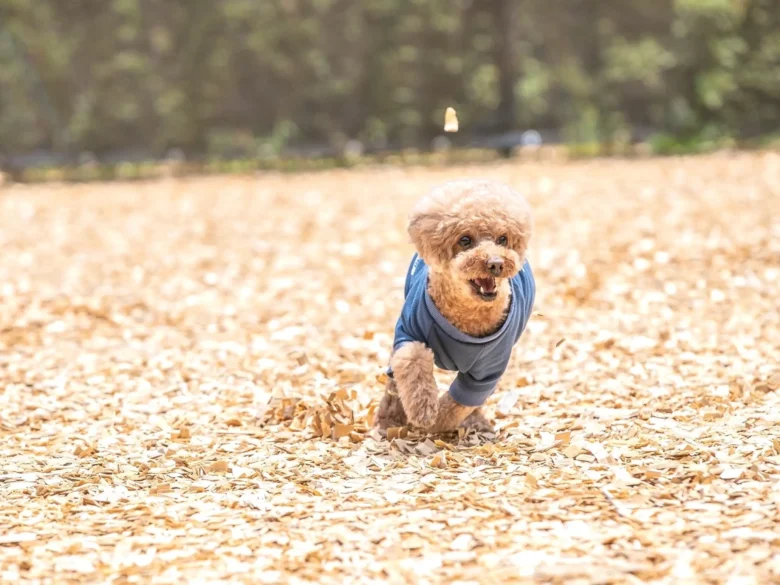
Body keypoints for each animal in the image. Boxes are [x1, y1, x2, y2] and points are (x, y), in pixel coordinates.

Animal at [374, 178, 532, 434]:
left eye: (503, 239)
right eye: (464, 240)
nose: (496, 264)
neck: (467, 316)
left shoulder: (488, 370)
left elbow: (460, 403)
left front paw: (438, 421)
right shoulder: (409, 333)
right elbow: (412, 362)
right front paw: (423, 411)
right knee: (393, 378)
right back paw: (388, 420)